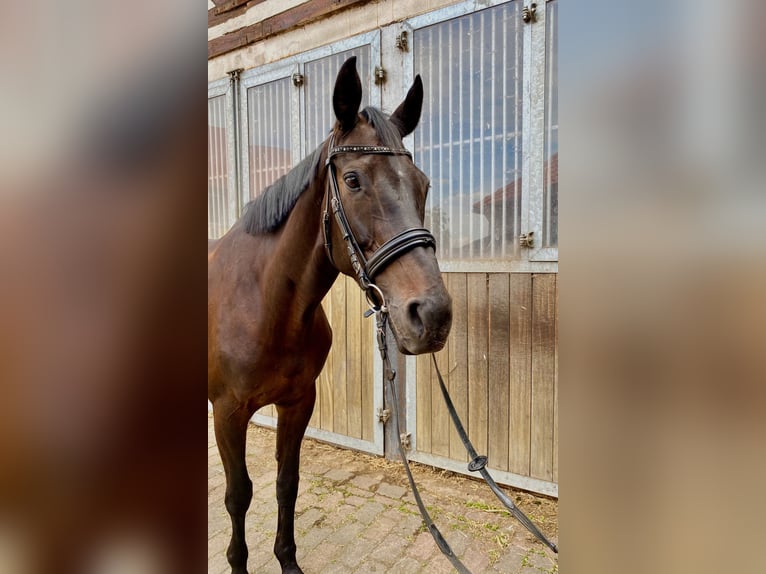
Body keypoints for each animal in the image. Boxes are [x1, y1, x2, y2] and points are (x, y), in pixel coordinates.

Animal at [207, 59, 452, 574]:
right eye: (354, 180)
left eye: (422, 184)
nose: (433, 315)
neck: (266, 306)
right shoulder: (228, 413)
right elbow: (239, 495)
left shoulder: (298, 403)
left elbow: (287, 483)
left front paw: (288, 560)